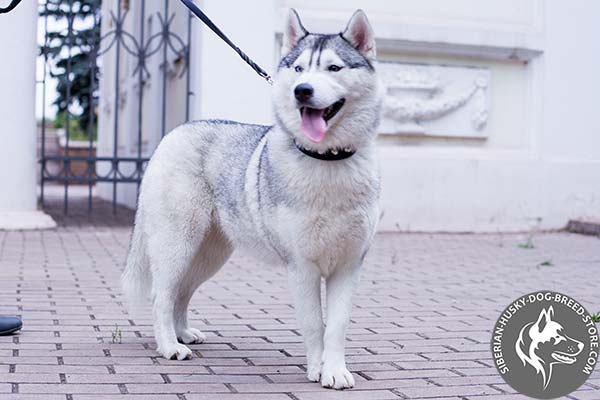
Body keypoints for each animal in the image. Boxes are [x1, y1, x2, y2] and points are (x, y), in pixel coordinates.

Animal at [122, 9, 382, 390]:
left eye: (334, 68)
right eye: (299, 69)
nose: (302, 91)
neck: (327, 162)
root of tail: (175, 132)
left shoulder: (349, 265)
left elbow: (336, 325)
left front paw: (335, 371)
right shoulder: (302, 267)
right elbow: (313, 324)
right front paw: (317, 369)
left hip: (209, 255)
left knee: (182, 292)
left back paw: (183, 333)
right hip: (178, 245)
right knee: (162, 295)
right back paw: (170, 346)